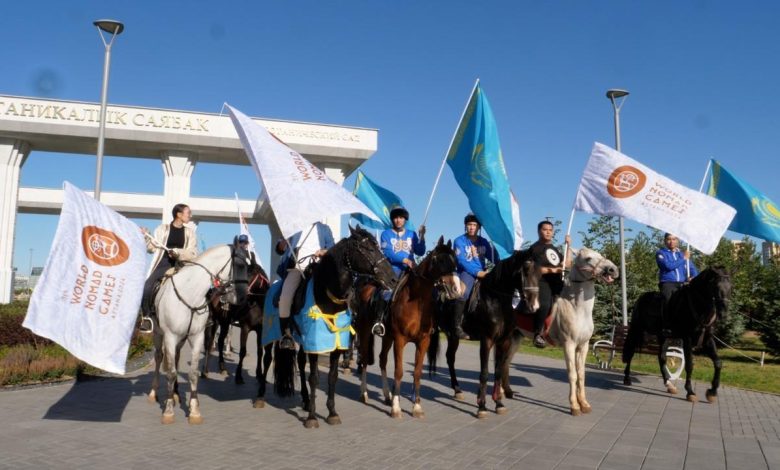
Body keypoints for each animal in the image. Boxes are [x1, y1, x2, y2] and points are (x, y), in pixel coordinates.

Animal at [149, 244, 250, 424]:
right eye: (240, 265)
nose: (243, 297)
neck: (190, 294)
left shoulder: (196, 337)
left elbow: (193, 373)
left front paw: (194, 410)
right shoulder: (170, 337)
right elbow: (171, 373)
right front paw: (168, 410)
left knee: (175, 358)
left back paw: (176, 394)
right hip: (158, 334)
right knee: (159, 357)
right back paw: (154, 393)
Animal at [274, 226, 396, 428]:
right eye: (368, 249)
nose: (393, 278)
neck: (327, 297)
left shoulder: (337, 345)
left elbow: (332, 376)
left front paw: (332, 413)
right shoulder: (315, 343)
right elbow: (314, 377)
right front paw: (312, 417)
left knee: (301, 361)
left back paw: (306, 401)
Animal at [368, 239, 460, 418]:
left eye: (455, 262)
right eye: (439, 260)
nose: (455, 290)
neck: (416, 301)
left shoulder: (423, 341)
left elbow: (417, 372)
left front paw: (416, 406)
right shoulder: (400, 340)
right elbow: (399, 371)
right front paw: (396, 408)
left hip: (387, 337)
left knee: (382, 359)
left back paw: (387, 395)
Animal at [548, 248, 616, 416]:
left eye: (601, 255)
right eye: (588, 258)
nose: (613, 269)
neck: (576, 307)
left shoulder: (583, 346)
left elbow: (581, 374)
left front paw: (584, 404)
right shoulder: (569, 345)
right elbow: (572, 374)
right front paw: (574, 406)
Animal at [620, 266, 732, 402]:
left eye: (730, 287)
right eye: (715, 286)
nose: (724, 314)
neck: (697, 305)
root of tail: (641, 298)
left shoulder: (707, 340)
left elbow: (718, 363)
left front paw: (712, 392)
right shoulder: (687, 339)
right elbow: (689, 365)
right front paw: (690, 392)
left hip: (662, 336)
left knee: (661, 357)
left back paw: (669, 384)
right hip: (637, 330)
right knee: (630, 352)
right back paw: (627, 378)